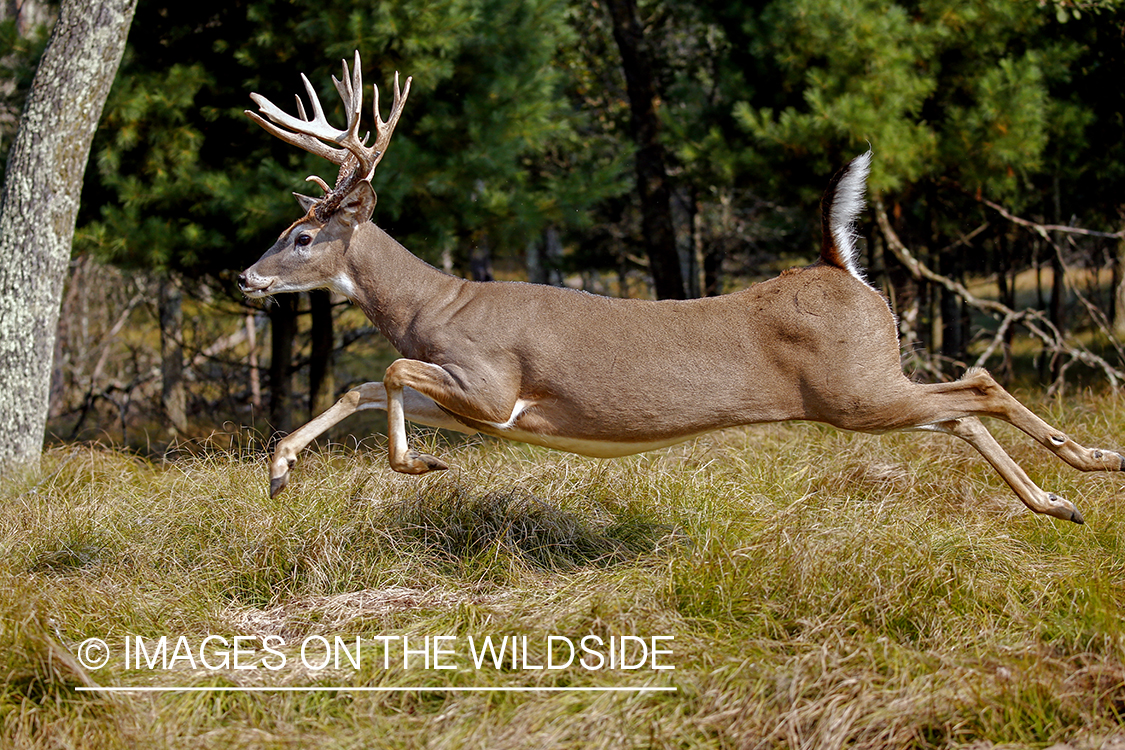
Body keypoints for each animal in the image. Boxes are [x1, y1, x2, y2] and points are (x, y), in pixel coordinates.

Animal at [235, 52, 1116, 526]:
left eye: (302, 235)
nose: (245, 276)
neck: (433, 306)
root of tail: (840, 267)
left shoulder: (491, 384)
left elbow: (381, 370)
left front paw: (416, 467)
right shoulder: (478, 404)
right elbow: (356, 385)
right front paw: (279, 471)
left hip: (853, 389)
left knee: (980, 383)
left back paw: (1090, 462)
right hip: (869, 387)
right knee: (959, 408)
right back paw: (1058, 501)